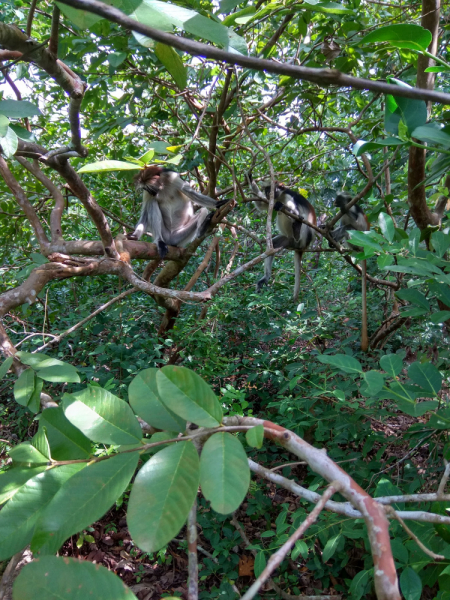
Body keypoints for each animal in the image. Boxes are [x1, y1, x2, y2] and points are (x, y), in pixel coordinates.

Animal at [330, 192, 370, 352]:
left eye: (338, 199)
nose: (335, 202)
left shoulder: (353, 208)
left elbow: (358, 225)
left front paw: (343, 208)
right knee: (345, 227)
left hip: (361, 241)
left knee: (349, 227)